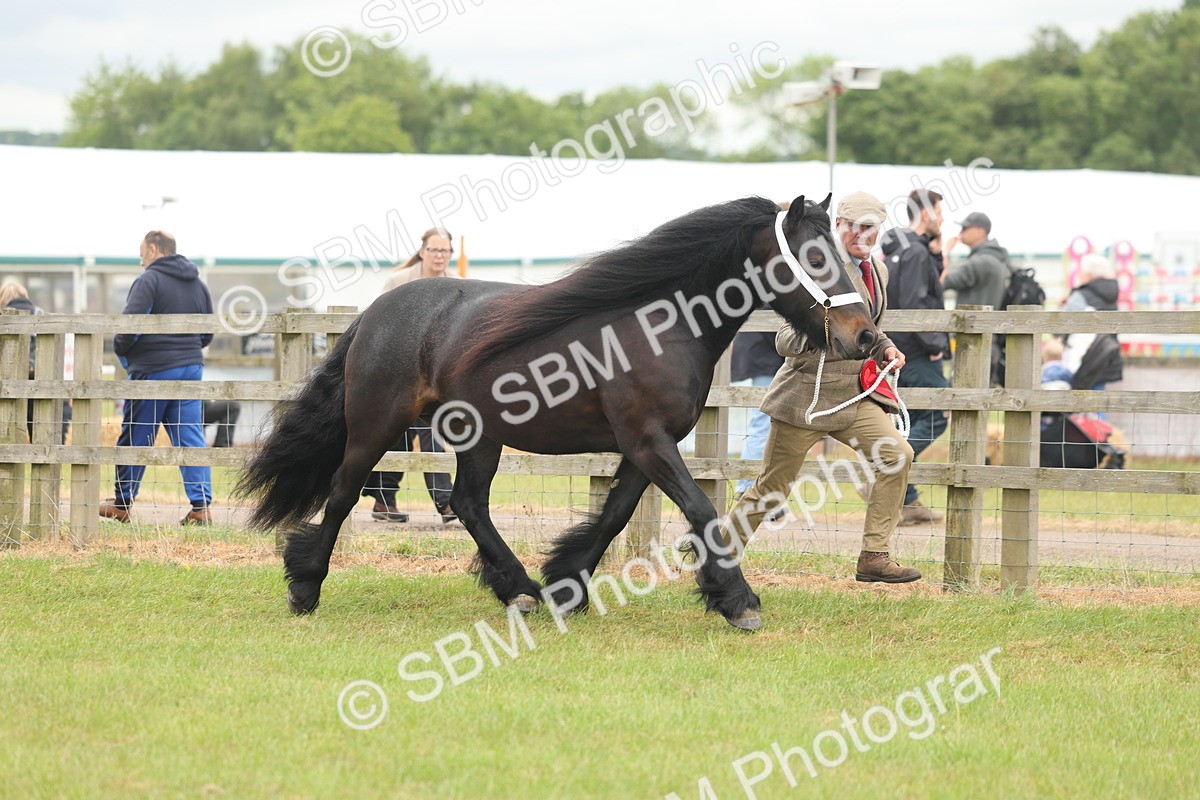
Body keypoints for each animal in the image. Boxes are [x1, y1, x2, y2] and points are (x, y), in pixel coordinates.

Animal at [237, 193, 880, 630]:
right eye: (812, 257)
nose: (867, 337)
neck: (660, 327)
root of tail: (375, 312)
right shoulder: (647, 440)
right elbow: (701, 510)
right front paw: (739, 601)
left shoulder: (646, 445)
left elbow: (615, 515)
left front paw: (566, 586)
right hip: (377, 426)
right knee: (345, 491)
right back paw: (305, 586)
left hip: (478, 435)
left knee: (468, 504)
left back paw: (518, 589)